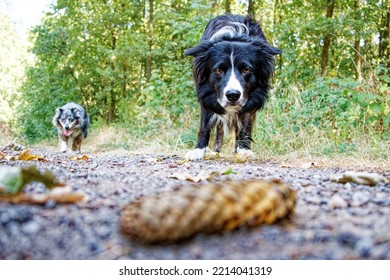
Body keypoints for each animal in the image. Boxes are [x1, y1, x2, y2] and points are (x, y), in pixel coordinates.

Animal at [185, 14, 280, 161]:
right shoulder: (207, 94)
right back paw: (215, 151)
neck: (234, 36)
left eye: (247, 69)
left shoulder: (250, 98)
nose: (233, 95)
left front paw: (243, 149)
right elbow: (205, 124)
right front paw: (198, 150)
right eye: (218, 70)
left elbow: (245, 122)